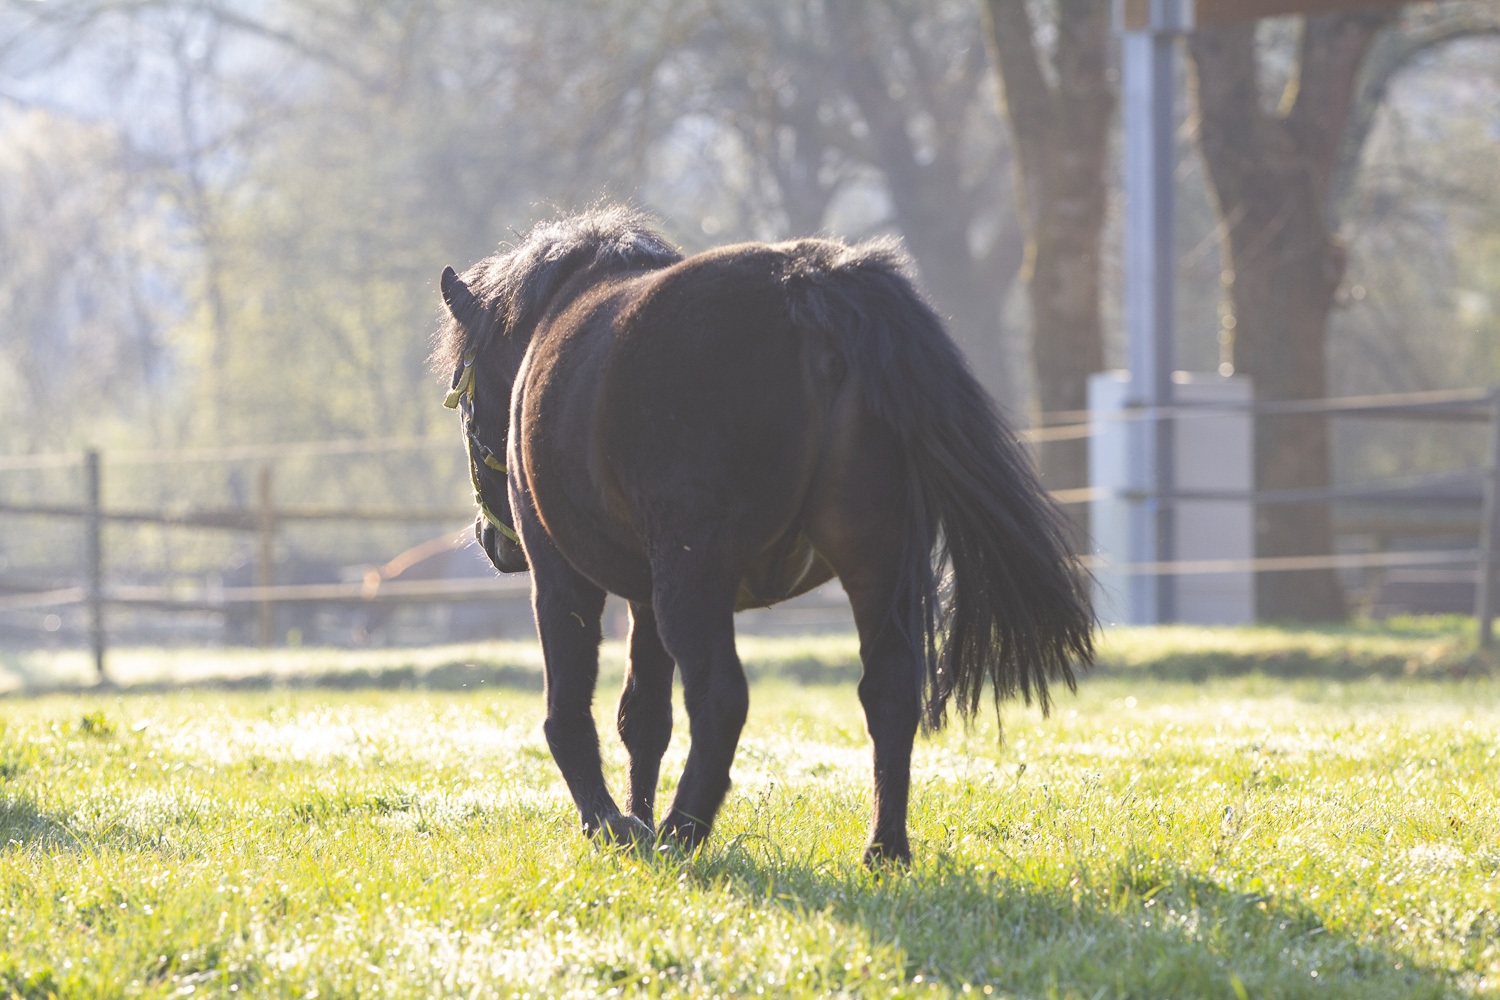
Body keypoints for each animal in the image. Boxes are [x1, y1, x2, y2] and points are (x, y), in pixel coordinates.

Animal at [435, 206, 1092, 863]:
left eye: (465, 403)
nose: (492, 542)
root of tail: (809, 282)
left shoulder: (564, 579)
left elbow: (570, 711)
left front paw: (611, 824)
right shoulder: (645, 597)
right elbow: (642, 718)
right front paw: (633, 818)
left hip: (696, 577)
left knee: (721, 697)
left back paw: (680, 834)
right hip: (875, 564)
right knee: (889, 691)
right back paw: (883, 849)